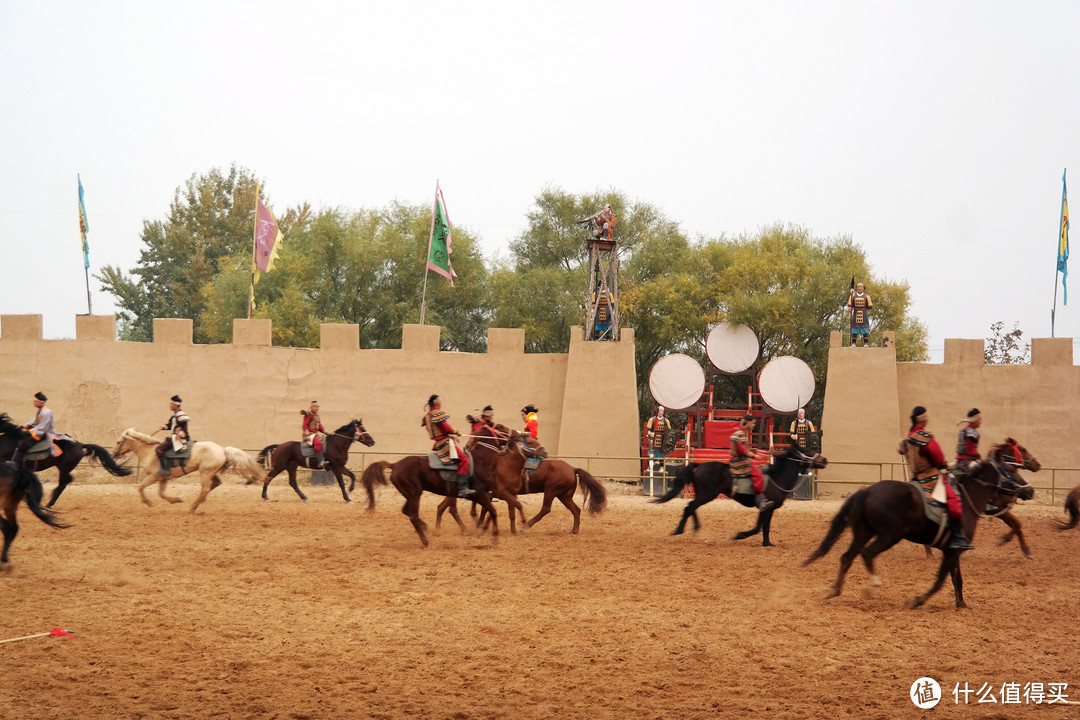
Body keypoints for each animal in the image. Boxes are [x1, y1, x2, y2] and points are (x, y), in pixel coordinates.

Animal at [0, 410, 132, 507]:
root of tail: (79, 444)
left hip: (64, 468)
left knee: (63, 483)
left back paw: (49, 503)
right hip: (63, 468)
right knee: (67, 480)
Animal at [113, 427, 265, 511]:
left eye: (118, 442)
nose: (114, 454)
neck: (150, 451)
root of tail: (222, 449)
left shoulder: (155, 476)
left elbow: (140, 487)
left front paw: (148, 502)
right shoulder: (164, 478)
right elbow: (161, 493)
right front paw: (175, 500)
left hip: (205, 473)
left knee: (205, 488)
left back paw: (193, 507)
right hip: (210, 472)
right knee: (215, 484)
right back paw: (199, 502)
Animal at [358, 455, 501, 552]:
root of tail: (395, 464)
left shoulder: (481, 496)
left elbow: (489, 510)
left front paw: (483, 530)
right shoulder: (480, 494)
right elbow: (493, 511)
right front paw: (494, 537)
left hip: (411, 495)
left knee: (407, 511)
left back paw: (425, 528)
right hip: (414, 494)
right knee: (413, 516)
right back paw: (426, 541)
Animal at [652, 444, 829, 546]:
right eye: (807, 451)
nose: (824, 459)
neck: (777, 476)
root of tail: (699, 465)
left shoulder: (770, 509)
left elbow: (766, 527)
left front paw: (767, 543)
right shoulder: (764, 508)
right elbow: (758, 527)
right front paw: (740, 535)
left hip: (703, 495)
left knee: (691, 507)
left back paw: (692, 528)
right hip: (706, 495)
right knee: (690, 507)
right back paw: (679, 530)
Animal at [807, 442, 1032, 613]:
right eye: (1011, 470)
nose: (1030, 490)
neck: (967, 499)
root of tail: (867, 491)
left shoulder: (953, 550)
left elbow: (956, 578)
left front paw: (962, 604)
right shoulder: (952, 551)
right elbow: (940, 581)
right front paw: (916, 600)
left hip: (863, 532)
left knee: (847, 557)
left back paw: (834, 590)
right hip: (888, 536)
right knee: (867, 554)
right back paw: (872, 586)